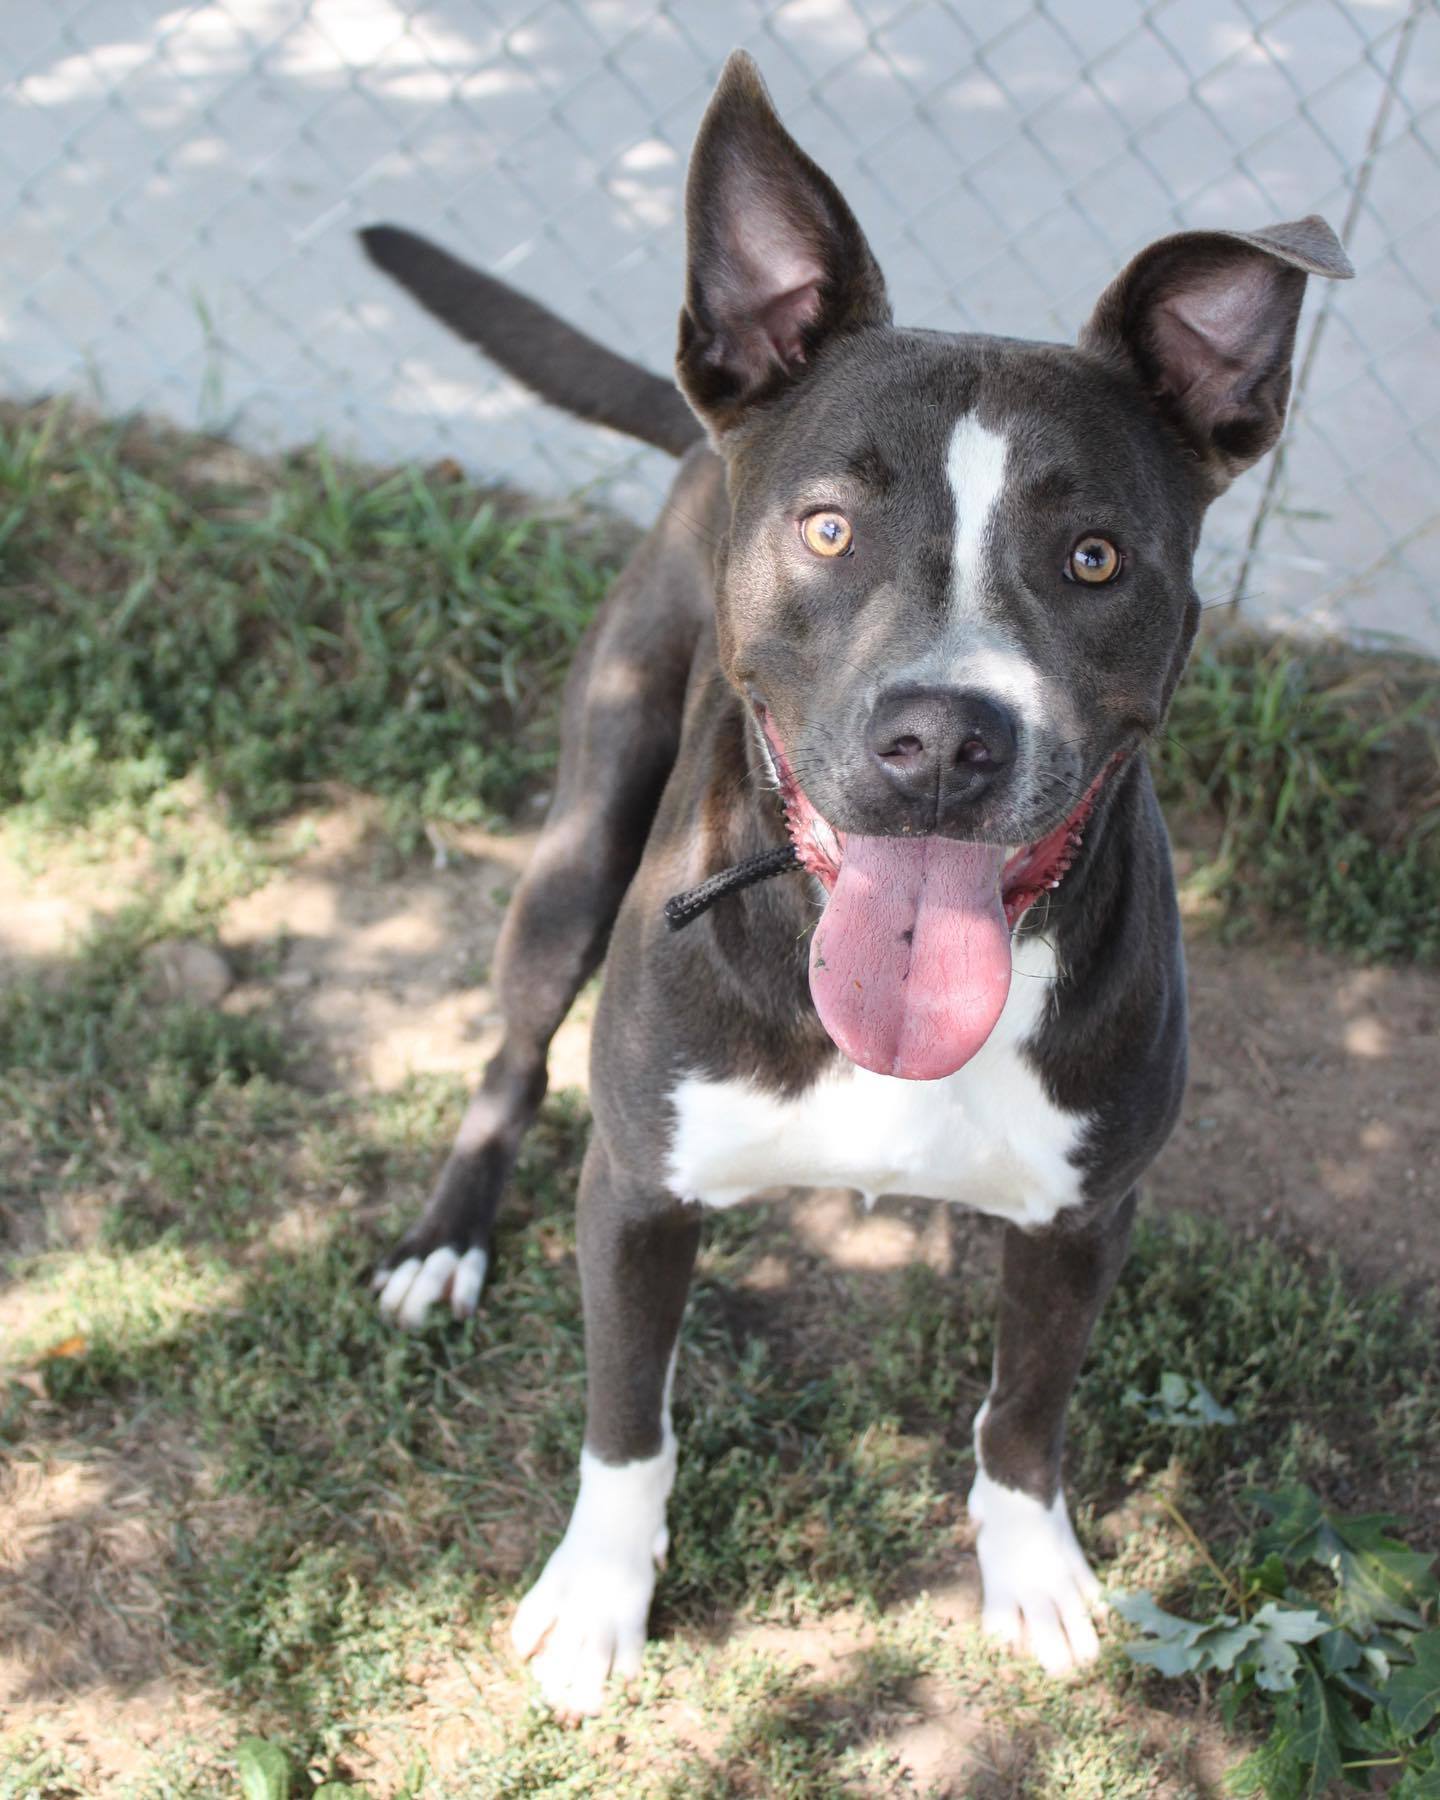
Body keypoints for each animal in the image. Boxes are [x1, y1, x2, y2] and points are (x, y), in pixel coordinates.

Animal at [360, 49, 1353, 1713]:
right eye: (829, 526)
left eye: (1096, 558)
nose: (943, 737)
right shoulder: (636, 1192)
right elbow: (627, 1425)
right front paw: (597, 1598)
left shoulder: (1086, 1216)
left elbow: (1026, 1413)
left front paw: (1033, 1569)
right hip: (580, 841)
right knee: (510, 1048)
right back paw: (447, 1239)